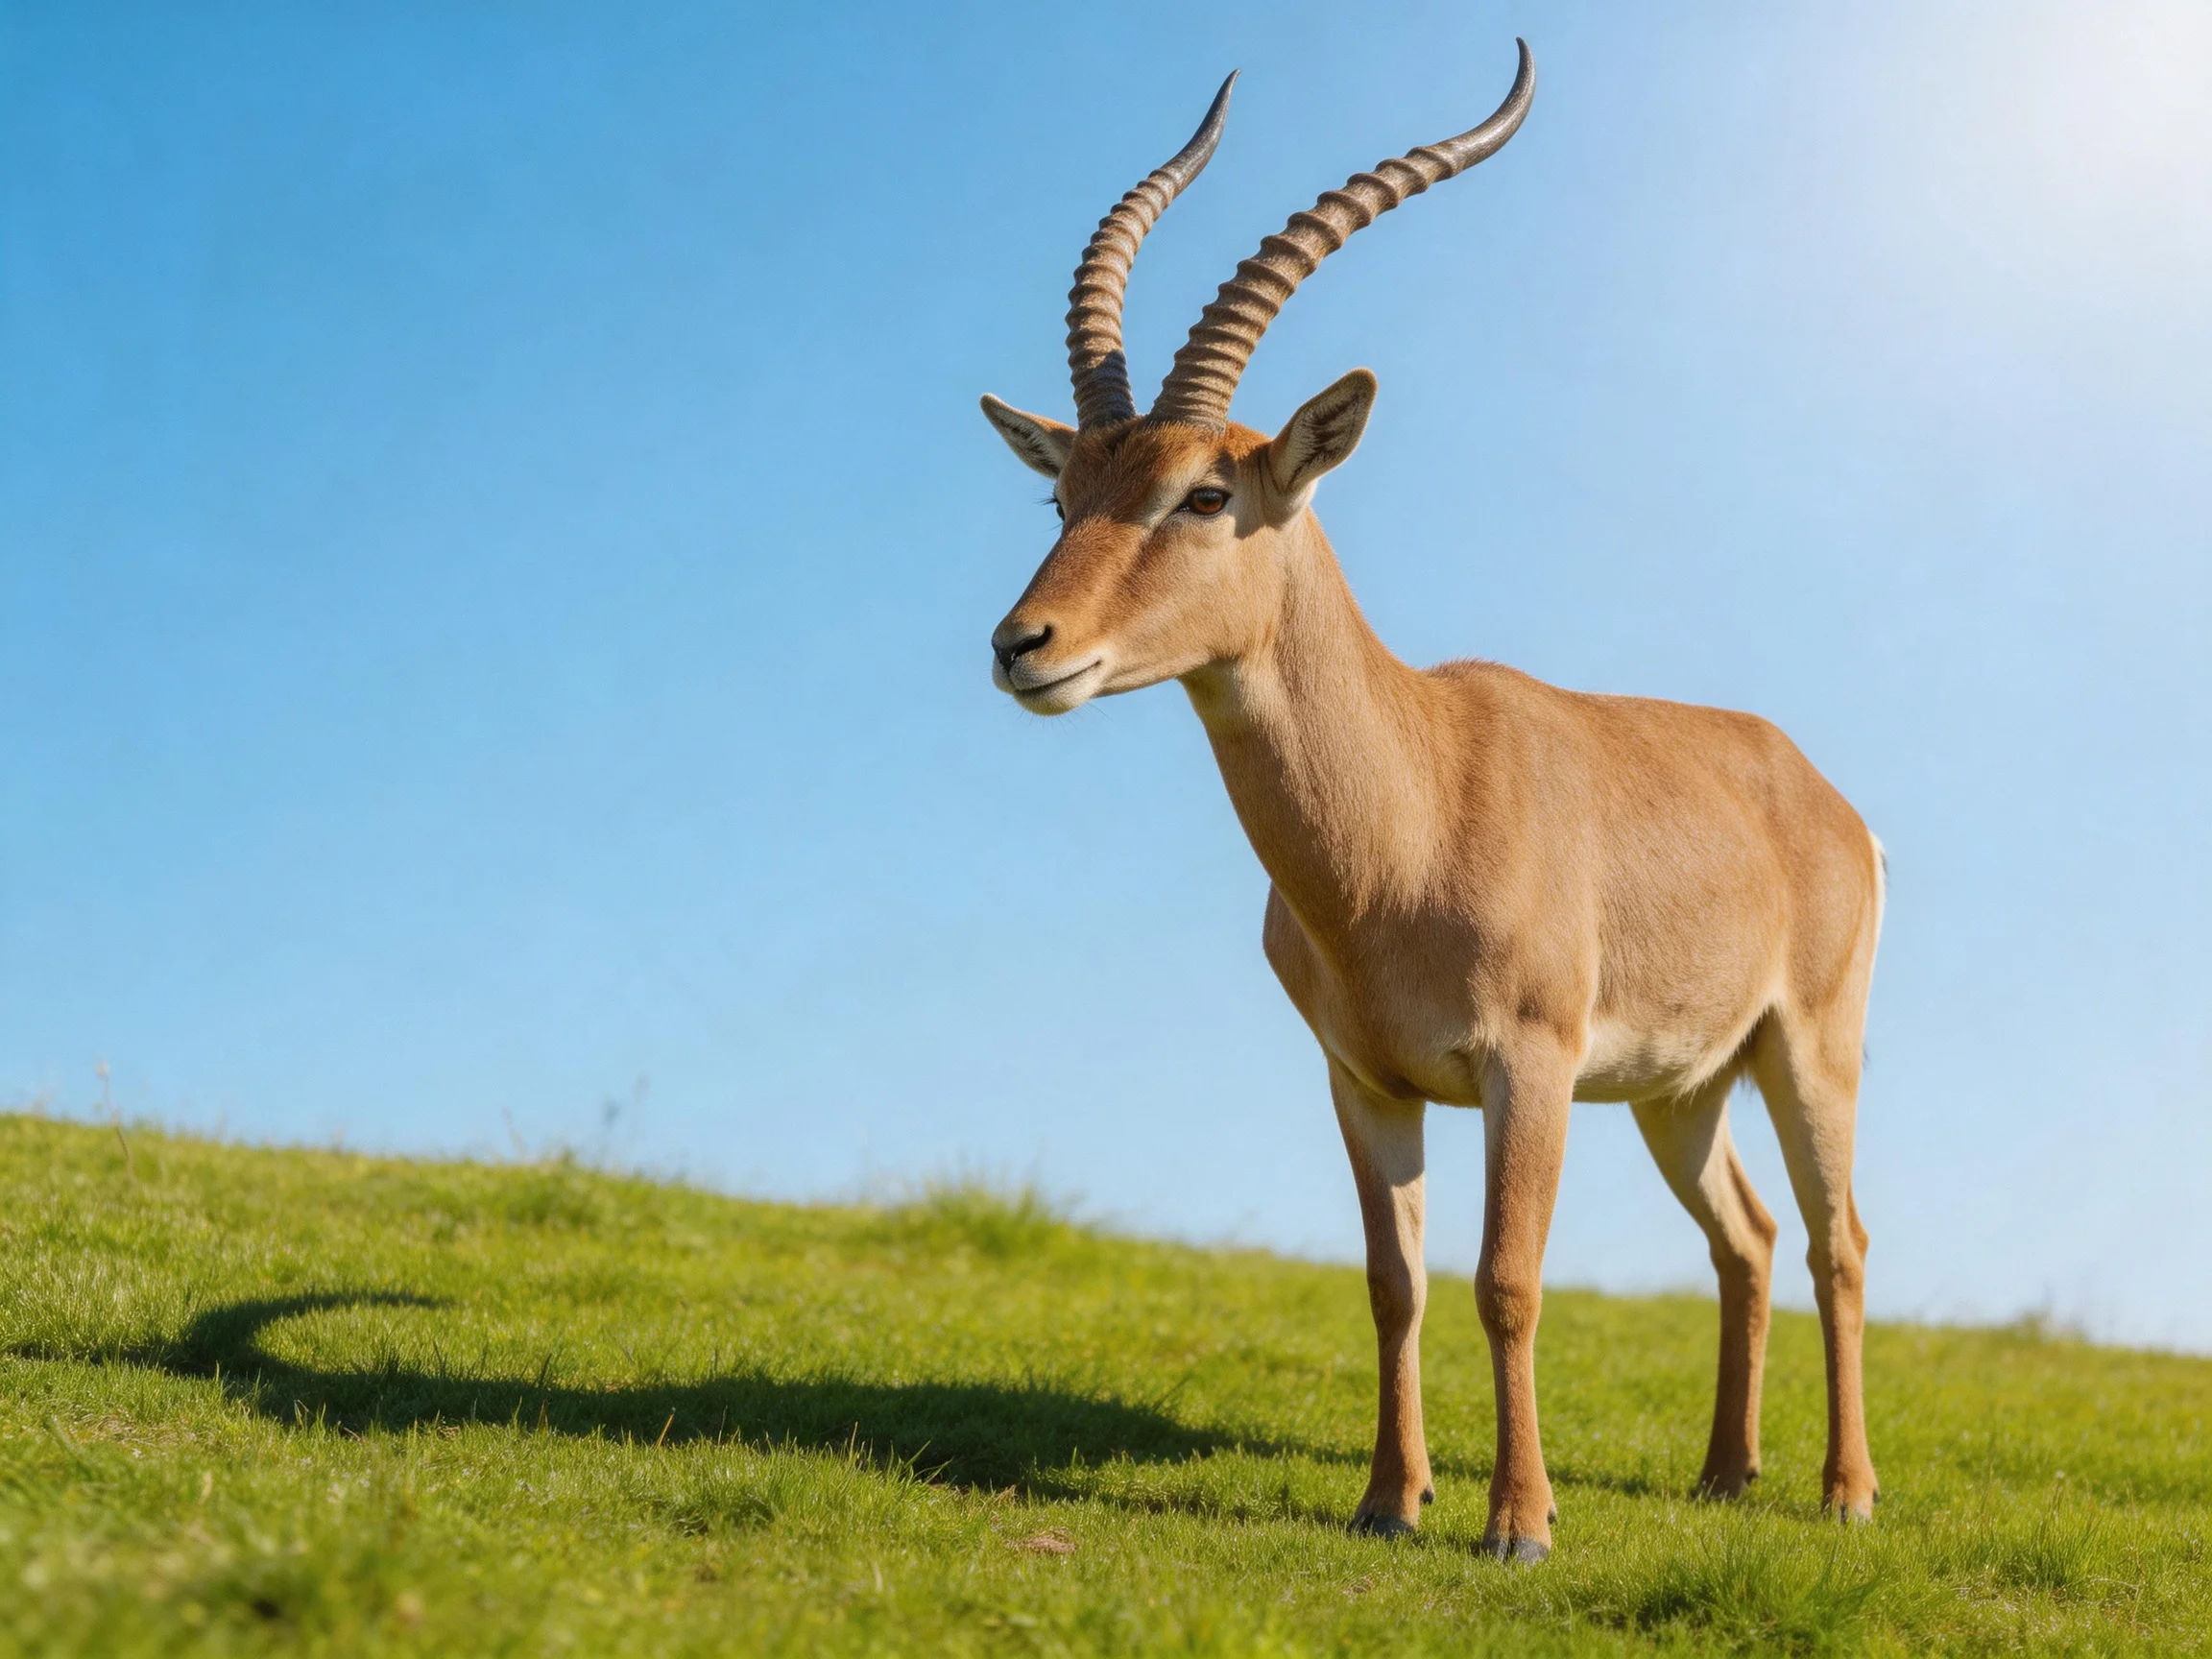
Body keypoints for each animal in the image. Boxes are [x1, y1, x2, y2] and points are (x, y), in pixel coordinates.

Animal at [980, 43, 1884, 1563]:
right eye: (1065, 495)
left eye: (1205, 491)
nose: (1023, 646)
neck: (1412, 808)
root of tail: (1817, 787)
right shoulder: (1366, 1082)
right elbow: (1391, 1283)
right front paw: (1389, 1503)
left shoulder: (1530, 1067)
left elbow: (1505, 1278)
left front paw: (1519, 1523)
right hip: (1681, 1088)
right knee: (1747, 1237)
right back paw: (1724, 1476)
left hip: (1806, 1052)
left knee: (1839, 1240)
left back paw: (1846, 1493)